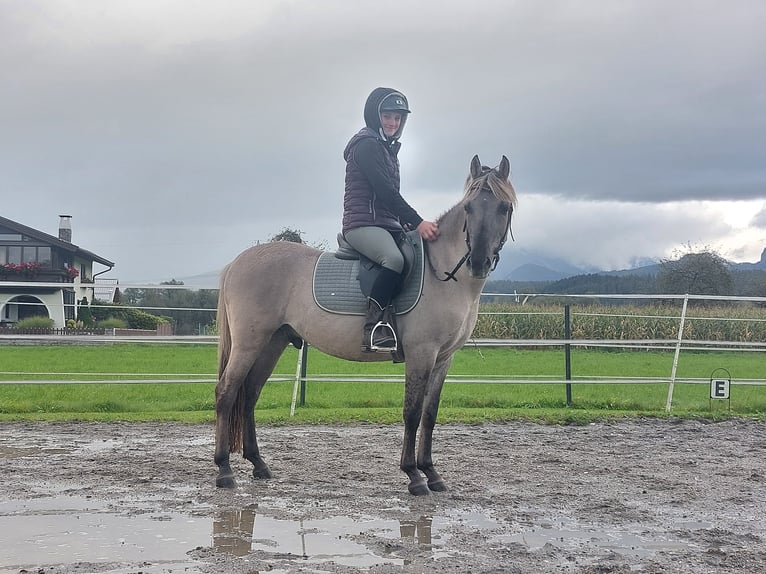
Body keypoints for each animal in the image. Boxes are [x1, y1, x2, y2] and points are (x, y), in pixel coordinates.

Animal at [213, 155, 520, 498]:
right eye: (468, 208)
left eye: (503, 208)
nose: (478, 262)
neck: (442, 273)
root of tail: (237, 262)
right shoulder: (421, 353)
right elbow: (412, 413)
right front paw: (414, 475)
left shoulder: (443, 358)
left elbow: (430, 414)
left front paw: (432, 473)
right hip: (249, 343)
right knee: (227, 392)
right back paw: (224, 470)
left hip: (273, 342)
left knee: (250, 394)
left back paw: (259, 464)